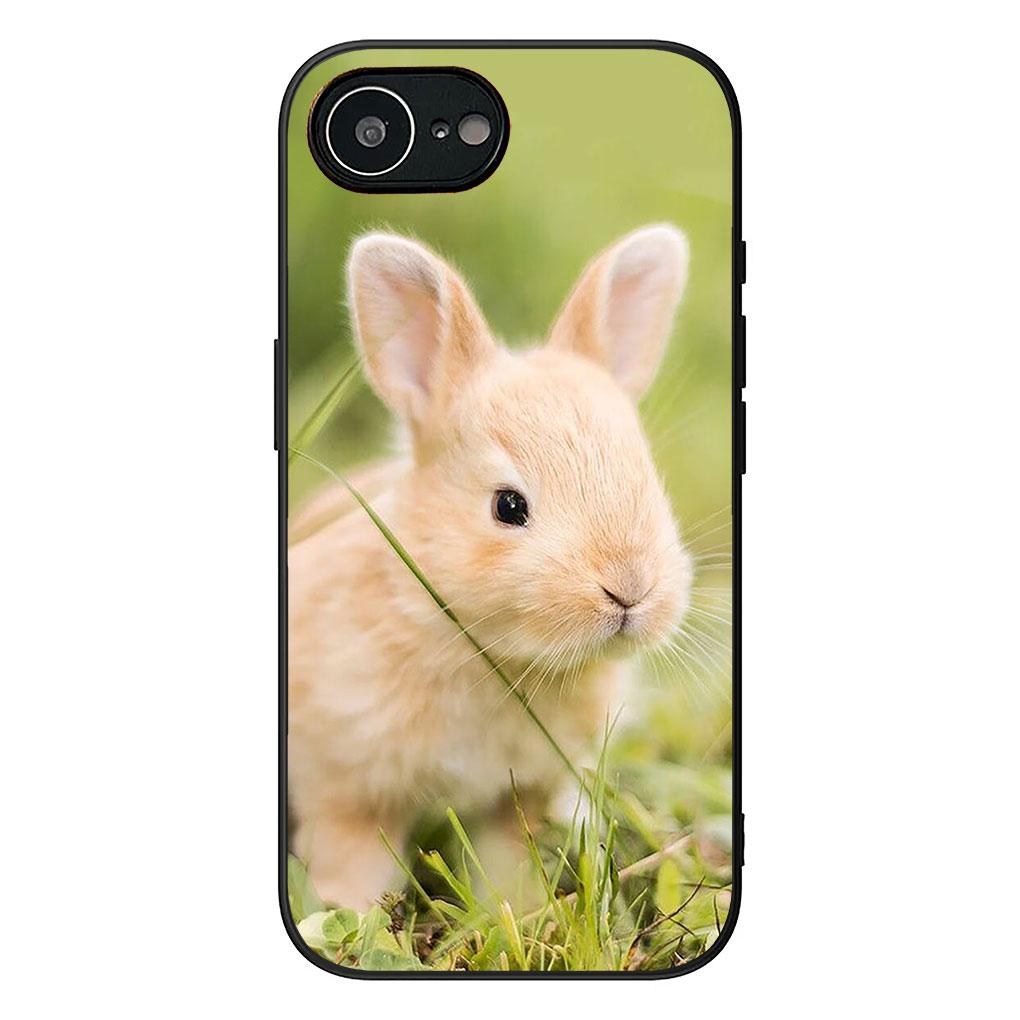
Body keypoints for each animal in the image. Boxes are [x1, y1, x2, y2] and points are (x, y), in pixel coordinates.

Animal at [288, 224, 694, 910]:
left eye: (651, 482)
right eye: (509, 506)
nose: (629, 590)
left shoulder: (521, 793)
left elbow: (507, 855)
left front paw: (513, 909)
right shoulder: (346, 785)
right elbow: (352, 856)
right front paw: (350, 911)